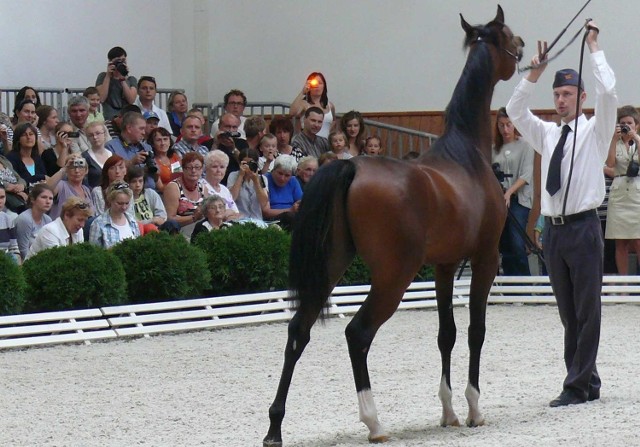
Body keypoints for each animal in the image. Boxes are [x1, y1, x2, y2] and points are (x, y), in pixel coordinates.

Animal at [264, 5, 524, 446]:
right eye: (506, 34)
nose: (522, 47)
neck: (466, 155)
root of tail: (350, 166)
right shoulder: (485, 258)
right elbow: (475, 329)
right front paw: (473, 409)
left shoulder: (444, 265)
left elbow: (446, 333)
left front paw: (448, 412)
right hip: (393, 276)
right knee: (358, 334)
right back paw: (374, 423)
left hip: (331, 266)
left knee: (298, 331)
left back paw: (274, 427)